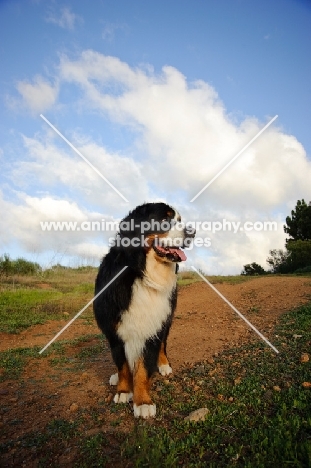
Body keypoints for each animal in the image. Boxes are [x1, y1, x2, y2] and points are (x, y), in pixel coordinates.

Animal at [93, 203, 195, 418]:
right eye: (164, 220)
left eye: (179, 220)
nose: (193, 232)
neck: (142, 273)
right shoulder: (115, 331)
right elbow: (123, 366)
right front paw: (124, 391)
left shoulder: (152, 327)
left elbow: (142, 369)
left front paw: (143, 402)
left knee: (163, 344)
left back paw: (163, 365)